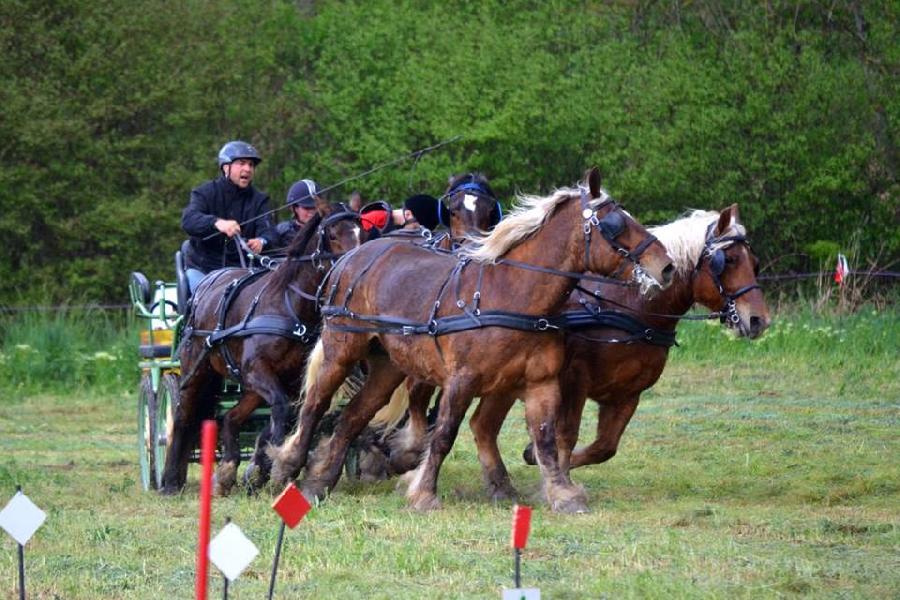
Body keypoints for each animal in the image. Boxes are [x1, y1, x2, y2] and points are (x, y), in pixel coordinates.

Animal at [160, 199, 360, 494]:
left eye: (361, 232)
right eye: (333, 235)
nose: (353, 267)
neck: (288, 305)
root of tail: (201, 291)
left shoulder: (290, 382)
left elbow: (283, 415)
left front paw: (261, 467)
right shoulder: (257, 369)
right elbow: (280, 408)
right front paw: (274, 467)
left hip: (249, 387)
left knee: (231, 418)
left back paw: (227, 471)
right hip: (197, 370)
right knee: (183, 416)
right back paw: (170, 480)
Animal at [270, 166, 672, 512]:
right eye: (615, 225)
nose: (666, 266)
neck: (512, 295)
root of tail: (355, 255)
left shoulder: (540, 382)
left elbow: (545, 438)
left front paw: (563, 494)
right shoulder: (460, 380)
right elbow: (444, 434)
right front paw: (423, 494)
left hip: (388, 366)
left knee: (353, 417)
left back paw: (319, 481)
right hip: (343, 348)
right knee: (315, 405)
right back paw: (285, 467)